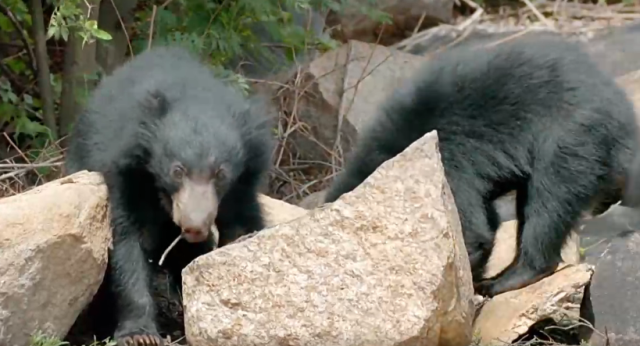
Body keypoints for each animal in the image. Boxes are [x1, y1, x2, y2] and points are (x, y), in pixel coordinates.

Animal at [64, 45, 276, 344]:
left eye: (221, 173)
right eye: (178, 170)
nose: (194, 226)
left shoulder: (244, 183)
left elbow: (241, 224)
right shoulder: (124, 171)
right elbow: (127, 243)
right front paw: (139, 335)